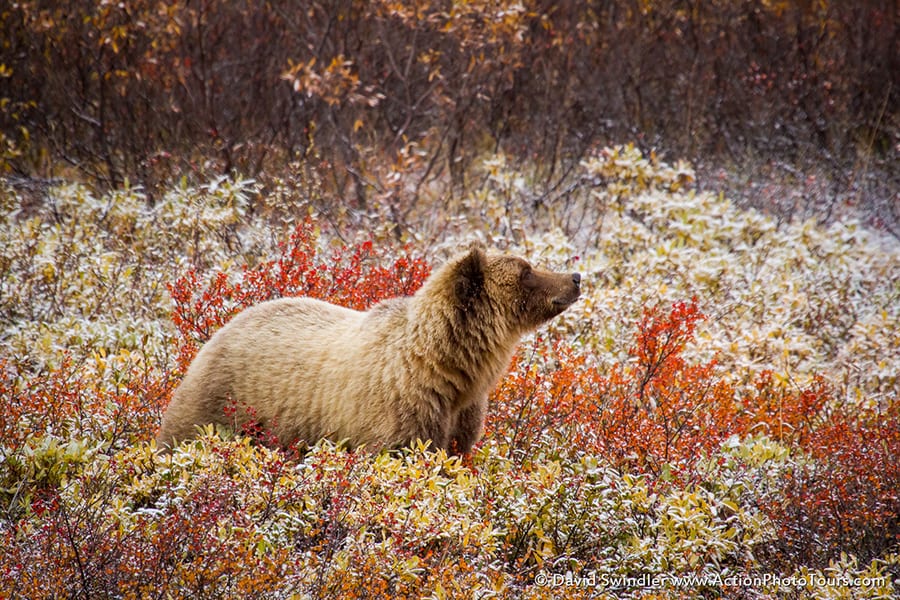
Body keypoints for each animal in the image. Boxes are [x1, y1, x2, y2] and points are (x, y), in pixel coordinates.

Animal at [157, 244, 580, 454]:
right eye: (526, 272)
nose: (574, 277)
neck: (448, 369)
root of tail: (218, 332)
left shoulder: (461, 416)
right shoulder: (397, 411)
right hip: (221, 406)